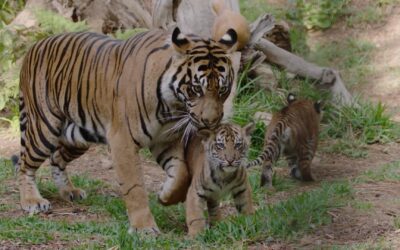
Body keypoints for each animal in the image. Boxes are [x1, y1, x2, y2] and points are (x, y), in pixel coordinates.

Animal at [14, 27, 239, 234]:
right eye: (196, 89)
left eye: (223, 90)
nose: (210, 122)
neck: (173, 105)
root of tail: (35, 45)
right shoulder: (123, 141)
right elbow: (135, 188)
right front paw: (144, 228)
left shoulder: (166, 140)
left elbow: (181, 173)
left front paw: (165, 196)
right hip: (44, 128)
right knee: (25, 165)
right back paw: (32, 201)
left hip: (78, 136)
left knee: (56, 158)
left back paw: (69, 191)